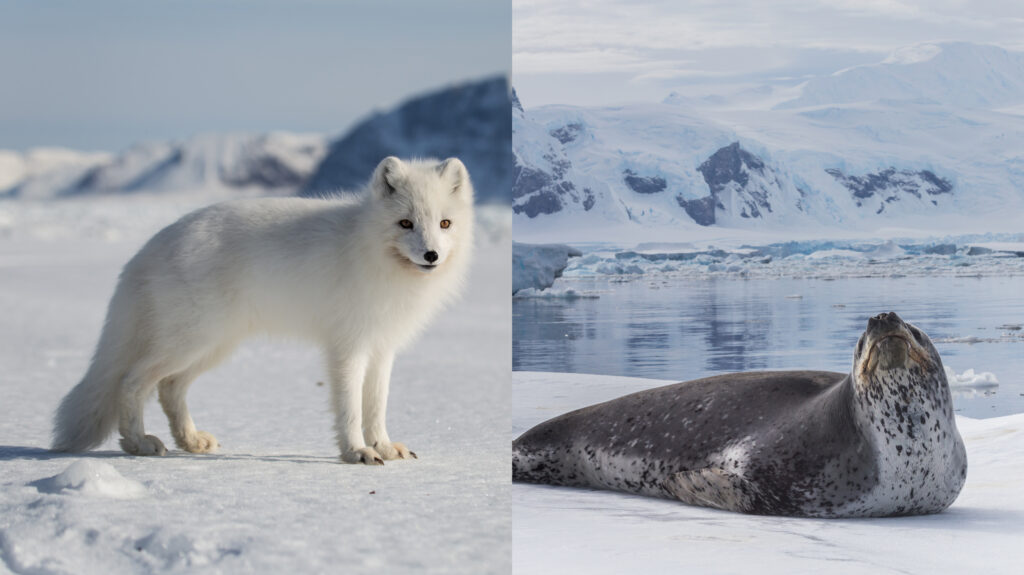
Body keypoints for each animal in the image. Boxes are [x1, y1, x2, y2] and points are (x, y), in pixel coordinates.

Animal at [51, 156, 473, 464]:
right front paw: (357, 451)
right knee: (131, 381)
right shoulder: (347, 347)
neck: (369, 251)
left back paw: (190, 441)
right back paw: (138, 443)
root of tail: (153, 245)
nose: (431, 255)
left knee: (169, 387)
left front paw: (383, 446)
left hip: (214, 346)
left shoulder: (382, 347)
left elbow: (376, 407)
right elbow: (351, 408)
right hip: (191, 340)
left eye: (444, 223)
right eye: (405, 223)